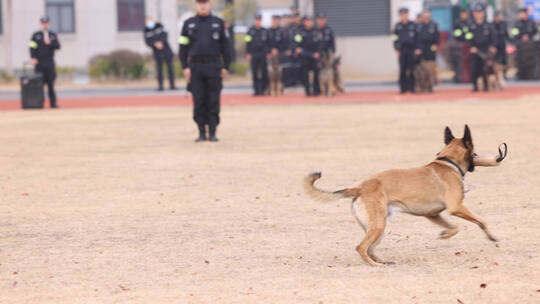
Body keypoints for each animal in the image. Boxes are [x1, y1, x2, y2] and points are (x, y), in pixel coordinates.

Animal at [306, 125, 508, 266]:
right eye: (474, 152)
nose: (496, 158)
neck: (448, 161)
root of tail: (360, 188)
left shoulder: (433, 214)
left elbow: (454, 227)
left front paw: (445, 234)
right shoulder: (456, 207)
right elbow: (481, 221)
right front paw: (492, 237)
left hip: (377, 227)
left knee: (370, 248)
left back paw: (383, 261)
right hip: (378, 225)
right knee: (361, 247)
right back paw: (375, 265)